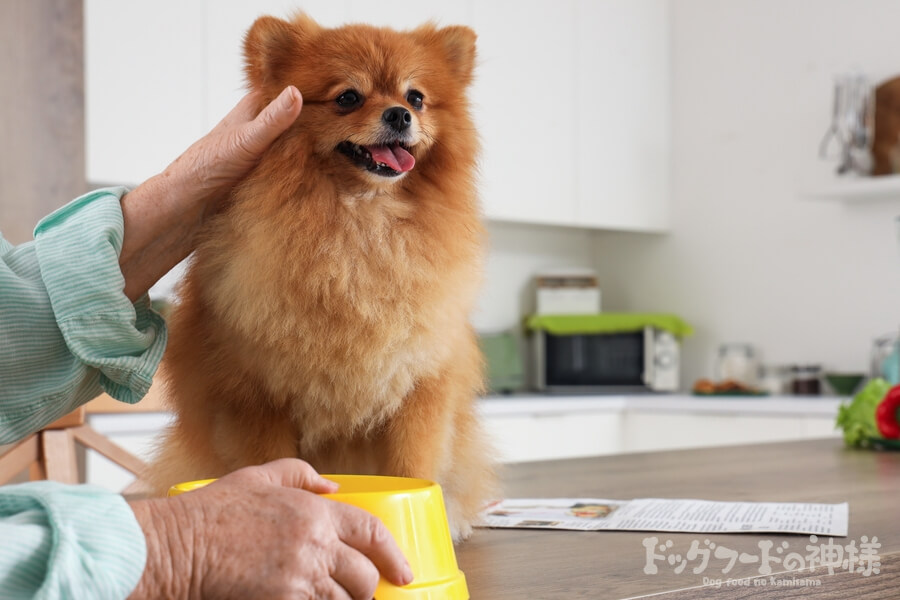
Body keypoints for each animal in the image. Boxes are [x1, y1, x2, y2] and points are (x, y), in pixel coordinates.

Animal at [148, 12, 500, 540]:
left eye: (416, 97)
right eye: (348, 97)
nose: (400, 114)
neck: (360, 226)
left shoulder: (420, 388)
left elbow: (413, 467)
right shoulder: (256, 399)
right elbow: (272, 464)